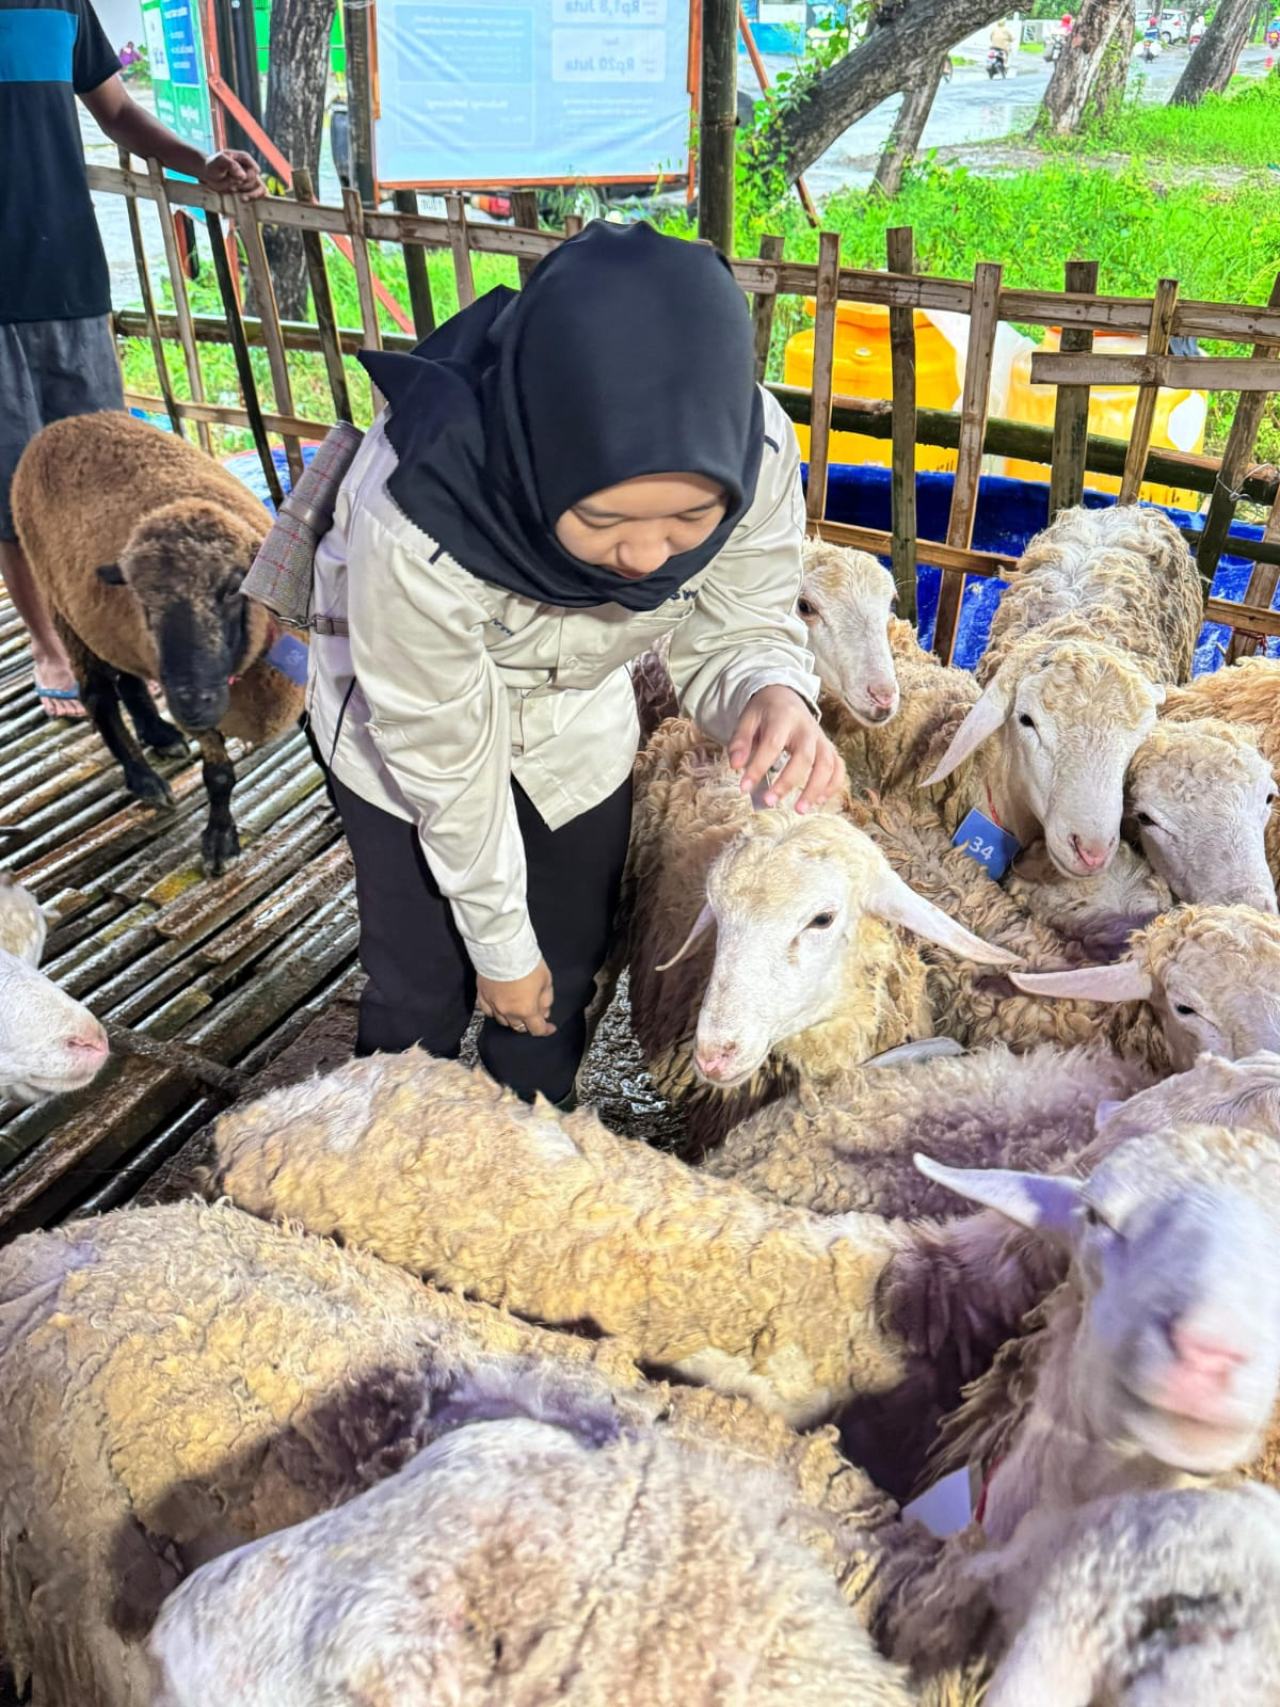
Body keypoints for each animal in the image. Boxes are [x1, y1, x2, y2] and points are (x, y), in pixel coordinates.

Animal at [11, 413, 306, 875]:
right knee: (98, 696)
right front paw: (220, 841)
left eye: (232, 589)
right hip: (64, 611)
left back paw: (158, 733)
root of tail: (62, 424)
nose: (190, 703)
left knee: (129, 681)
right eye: (143, 600)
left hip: (111, 631)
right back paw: (144, 779)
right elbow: (218, 776)